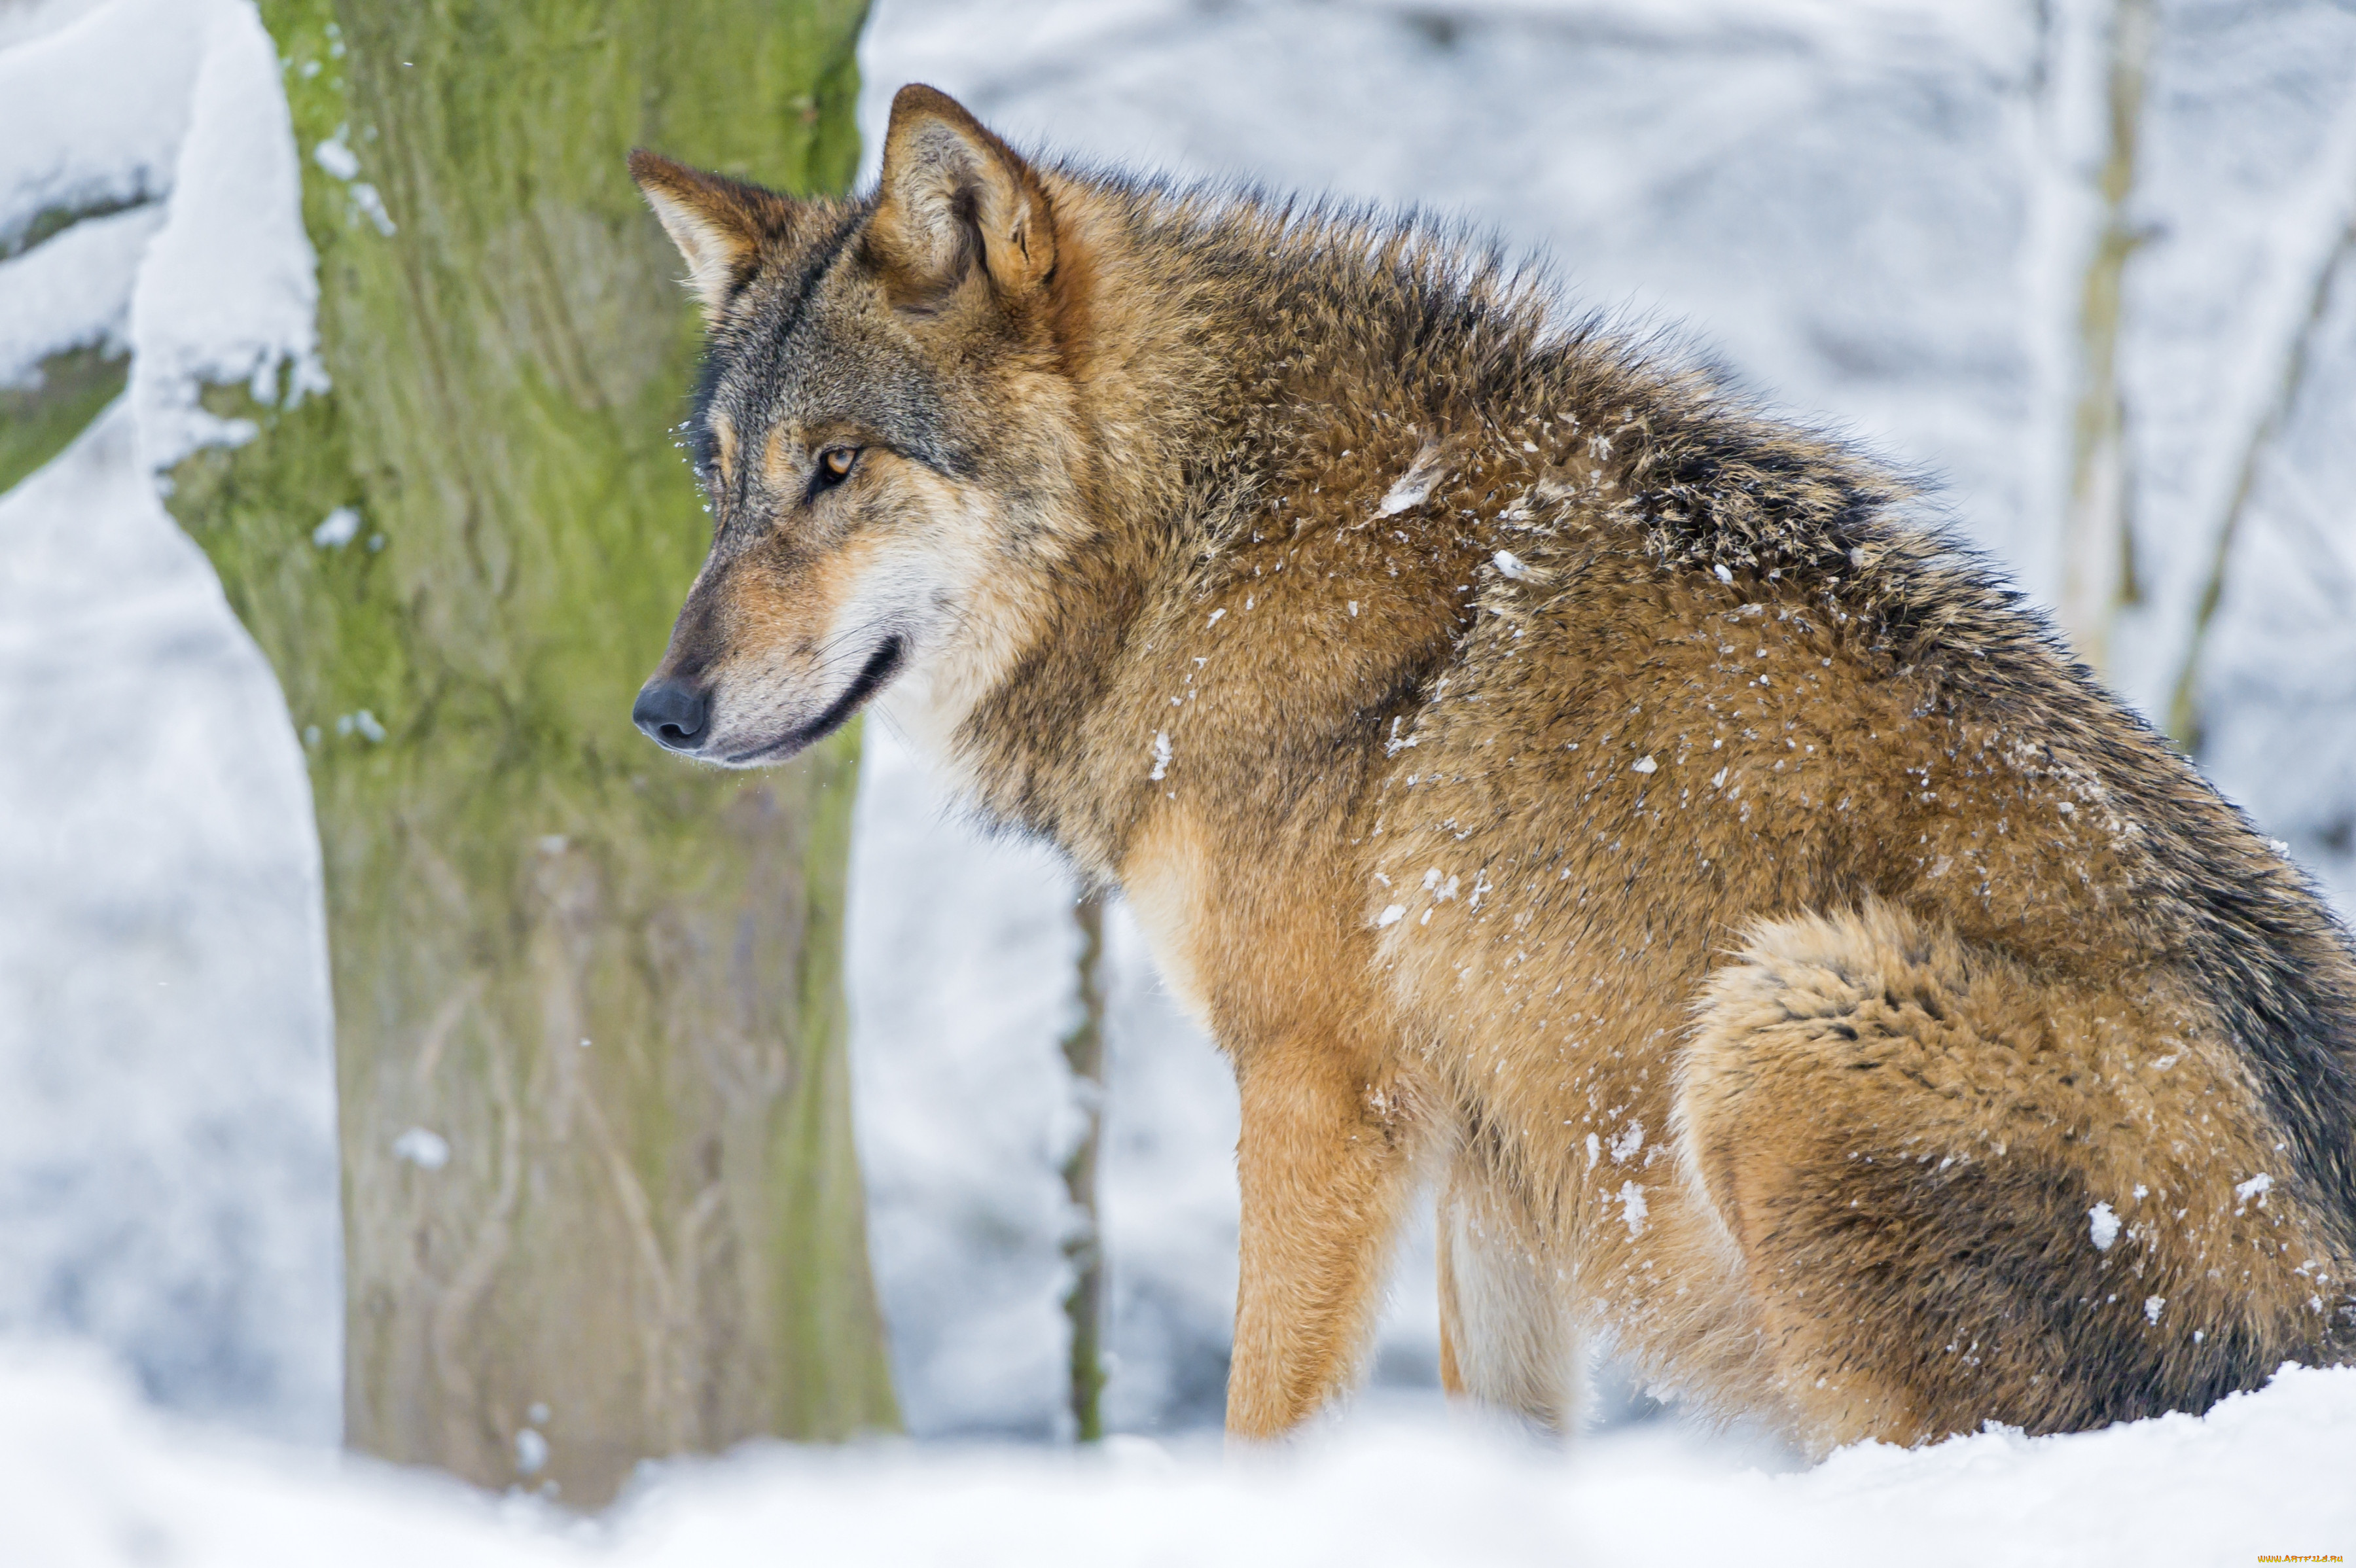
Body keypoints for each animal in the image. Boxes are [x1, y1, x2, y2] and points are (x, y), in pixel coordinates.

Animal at [622, 85, 2356, 1450]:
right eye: (720, 480)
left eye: (837, 468)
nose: (658, 708)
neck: (1207, 532)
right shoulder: (1495, 1162)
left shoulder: (1322, 1089)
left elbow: (1265, 1420)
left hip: (1781, 1017)